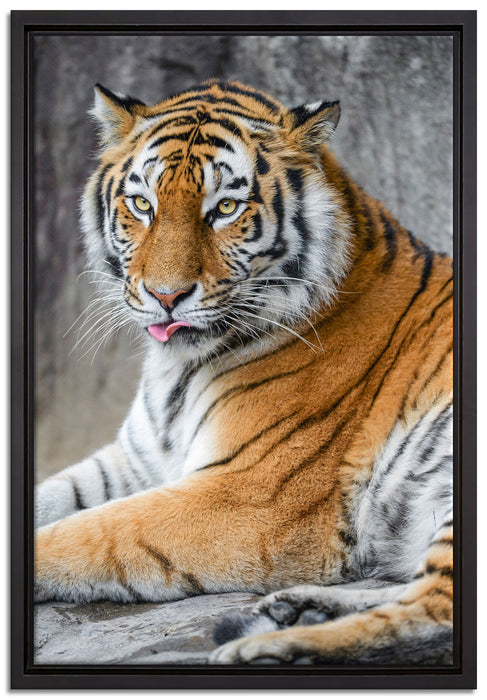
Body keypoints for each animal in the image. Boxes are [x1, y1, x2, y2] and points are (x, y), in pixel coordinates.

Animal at [34, 79, 453, 666]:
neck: (177, 369)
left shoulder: (248, 495)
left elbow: (90, 533)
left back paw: (272, 645)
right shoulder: (136, 462)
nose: (166, 296)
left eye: (225, 209)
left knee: (436, 611)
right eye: (142, 204)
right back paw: (298, 609)